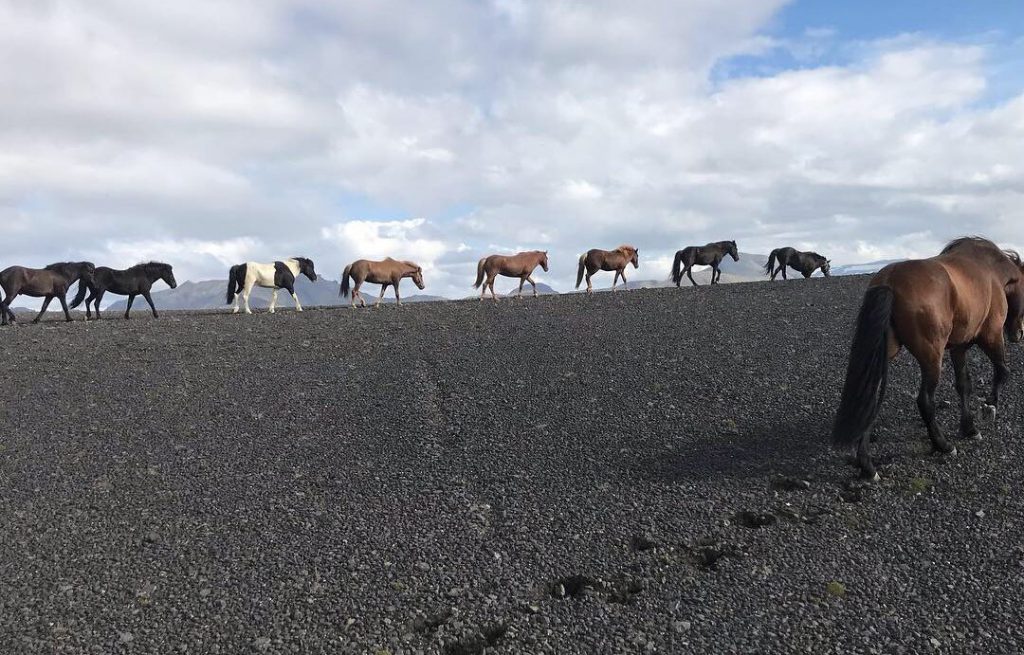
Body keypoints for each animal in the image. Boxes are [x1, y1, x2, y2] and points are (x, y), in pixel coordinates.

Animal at [832, 237, 1024, 482]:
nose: (1018, 333)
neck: (991, 270)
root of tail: (890, 280)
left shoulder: (958, 348)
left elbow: (964, 385)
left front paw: (969, 428)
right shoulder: (990, 335)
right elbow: (1002, 371)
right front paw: (989, 407)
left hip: (885, 355)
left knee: (871, 400)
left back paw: (867, 465)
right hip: (932, 357)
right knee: (924, 400)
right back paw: (943, 445)